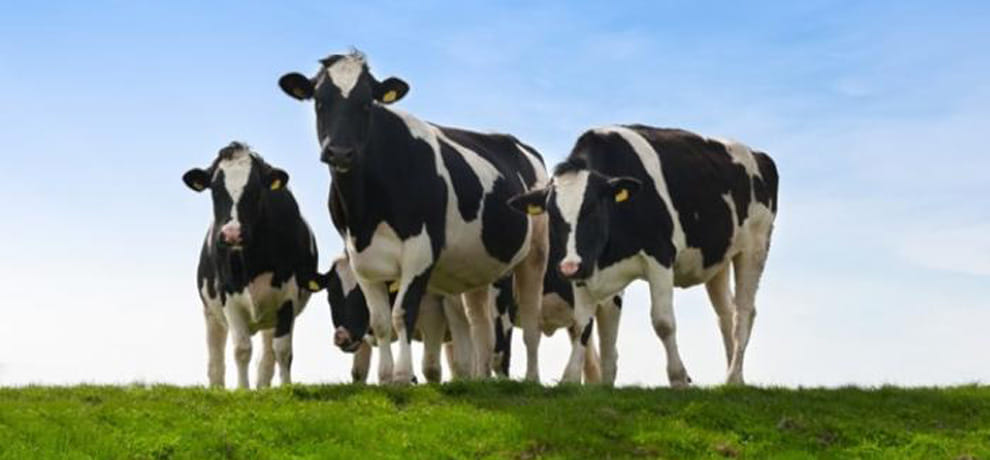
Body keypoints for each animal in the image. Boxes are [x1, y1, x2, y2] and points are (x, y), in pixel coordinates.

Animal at [183, 141, 323, 389]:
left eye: (256, 190)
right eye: (215, 190)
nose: (232, 234)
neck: (251, 262)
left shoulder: (288, 296)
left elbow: (283, 350)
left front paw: (286, 388)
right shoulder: (227, 296)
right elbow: (241, 349)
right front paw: (242, 390)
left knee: (268, 354)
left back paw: (263, 387)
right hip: (211, 313)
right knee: (215, 358)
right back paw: (217, 387)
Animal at [279, 50, 549, 384]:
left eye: (367, 103)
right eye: (319, 101)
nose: (340, 152)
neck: (366, 213)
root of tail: (517, 143)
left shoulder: (421, 252)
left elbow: (401, 314)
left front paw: (402, 376)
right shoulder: (360, 259)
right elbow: (380, 321)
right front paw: (385, 378)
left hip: (535, 254)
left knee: (530, 321)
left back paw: (531, 378)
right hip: (478, 267)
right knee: (480, 325)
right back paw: (480, 380)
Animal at [509, 125, 778, 386]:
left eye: (592, 208)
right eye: (551, 214)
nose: (568, 268)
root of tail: (758, 154)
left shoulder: (660, 256)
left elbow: (663, 322)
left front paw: (679, 378)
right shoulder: (586, 267)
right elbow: (583, 324)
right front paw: (574, 379)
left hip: (755, 246)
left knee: (743, 313)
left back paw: (733, 377)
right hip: (717, 261)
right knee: (726, 314)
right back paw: (735, 379)